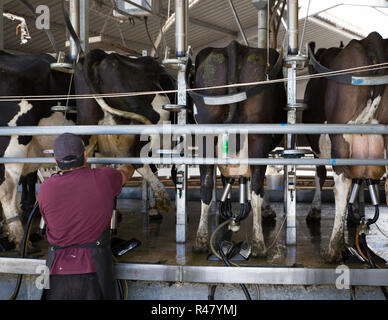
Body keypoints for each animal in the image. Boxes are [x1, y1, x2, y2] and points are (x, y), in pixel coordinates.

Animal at [189, 40, 286, 256]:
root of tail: (234, 47)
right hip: (258, 137)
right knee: (257, 187)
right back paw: (259, 244)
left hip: (206, 135)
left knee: (206, 186)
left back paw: (200, 240)